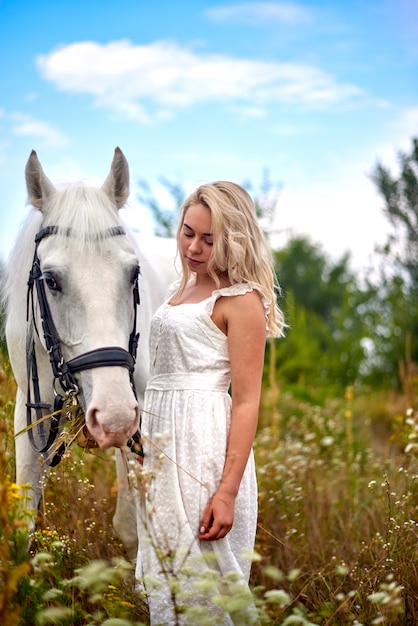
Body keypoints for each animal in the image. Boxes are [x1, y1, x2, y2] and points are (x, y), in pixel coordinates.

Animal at [3, 149, 176, 560]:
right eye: (50, 279)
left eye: (133, 273)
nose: (114, 415)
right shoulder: (33, 410)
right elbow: (23, 522)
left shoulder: (138, 413)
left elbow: (133, 526)